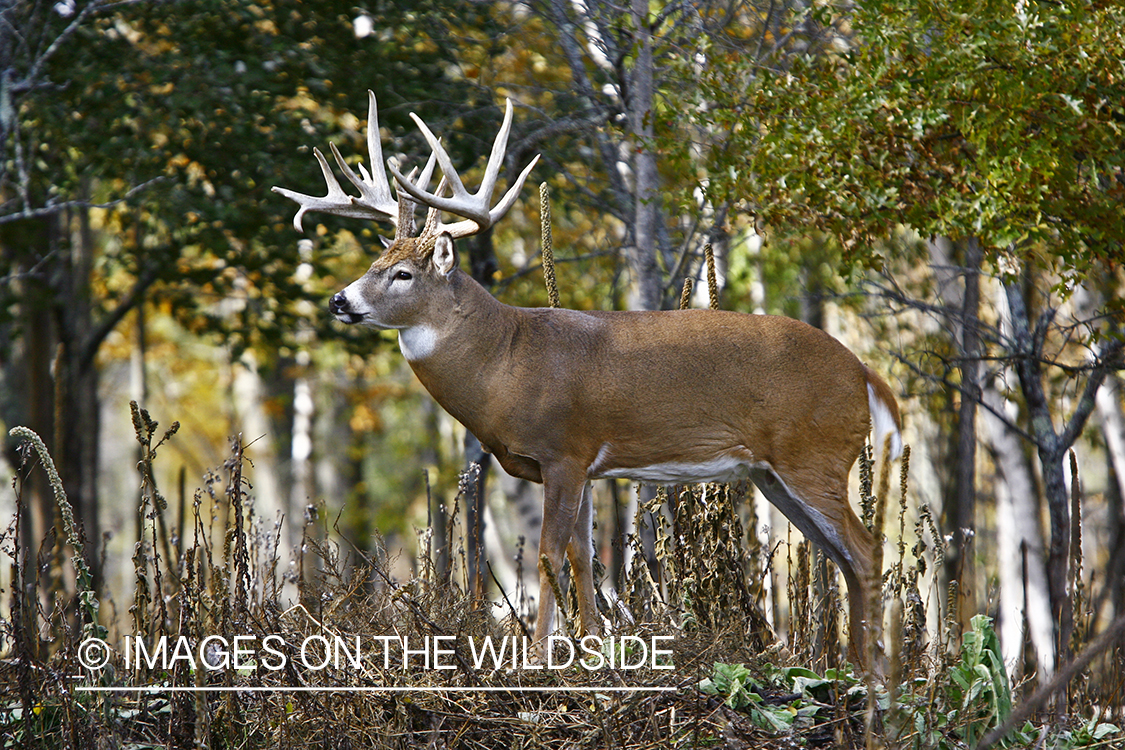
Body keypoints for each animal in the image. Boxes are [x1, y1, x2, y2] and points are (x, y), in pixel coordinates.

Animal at [274, 91, 904, 670]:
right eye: (373, 264)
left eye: (403, 274)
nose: (339, 300)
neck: (506, 362)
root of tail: (866, 373)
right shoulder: (583, 466)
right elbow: (582, 556)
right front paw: (592, 647)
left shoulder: (564, 451)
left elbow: (548, 555)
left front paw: (538, 657)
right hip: (775, 473)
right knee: (844, 557)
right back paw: (852, 670)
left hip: (815, 453)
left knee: (866, 550)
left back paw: (877, 681)